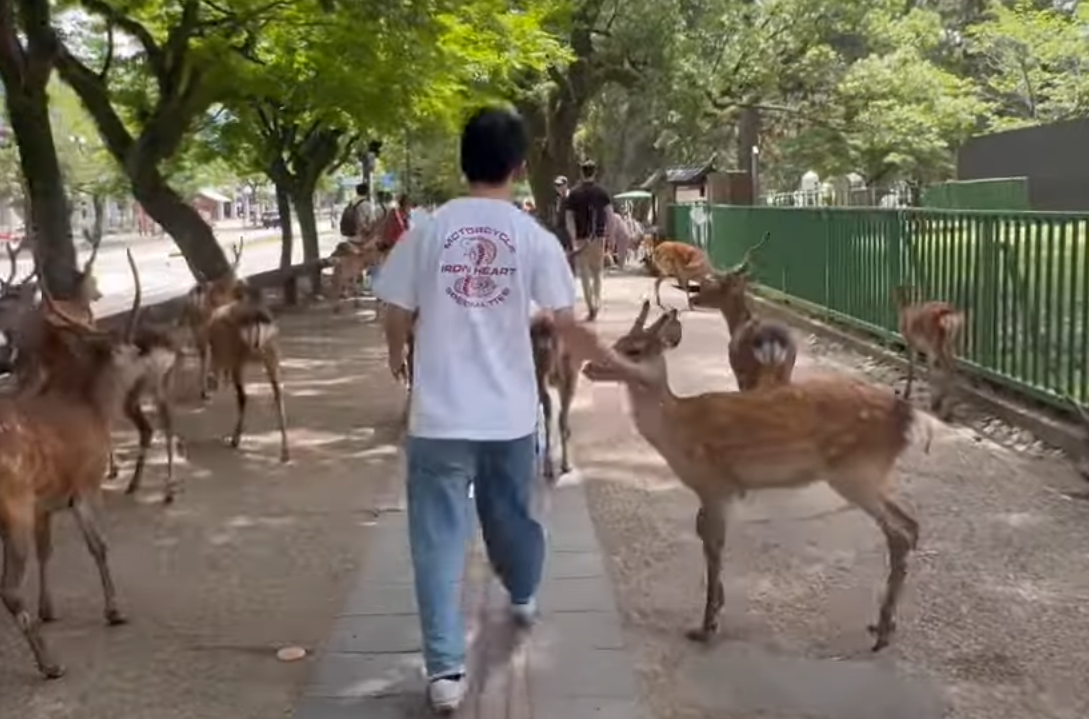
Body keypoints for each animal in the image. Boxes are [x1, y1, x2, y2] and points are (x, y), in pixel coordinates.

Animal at [0, 264, 148, 680]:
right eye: (127, 346)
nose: (144, 355)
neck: (91, 409)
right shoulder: (84, 483)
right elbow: (99, 545)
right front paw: (114, 610)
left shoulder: (44, 502)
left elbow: (47, 549)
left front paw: (48, 609)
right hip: (12, 503)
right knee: (9, 589)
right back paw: (50, 664)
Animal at [582, 301, 924, 652]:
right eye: (618, 342)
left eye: (633, 351)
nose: (589, 366)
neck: (677, 434)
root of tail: (906, 419)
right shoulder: (717, 490)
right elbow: (706, 536)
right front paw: (716, 608)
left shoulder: (715, 484)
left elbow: (713, 544)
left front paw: (706, 626)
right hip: (869, 475)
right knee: (909, 526)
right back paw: (884, 625)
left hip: (856, 473)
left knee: (900, 532)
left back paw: (882, 633)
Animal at [688, 233, 798, 391]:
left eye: (718, 283)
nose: (693, 298)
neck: (737, 324)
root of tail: (772, 341)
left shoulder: (739, 375)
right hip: (786, 372)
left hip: (751, 374)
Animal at [891, 285, 965, 421]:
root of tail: (949, 316)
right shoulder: (928, 350)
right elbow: (930, 369)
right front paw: (934, 401)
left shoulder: (912, 343)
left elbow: (912, 366)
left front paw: (906, 394)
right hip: (951, 343)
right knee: (953, 367)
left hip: (937, 343)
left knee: (949, 368)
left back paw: (945, 412)